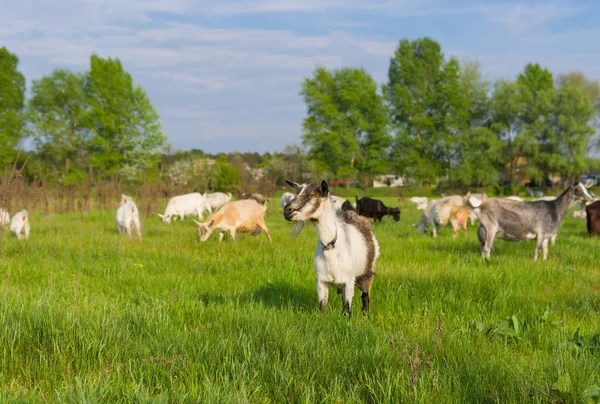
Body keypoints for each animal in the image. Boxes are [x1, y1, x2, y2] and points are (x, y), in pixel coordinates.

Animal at [282, 181, 380, 318]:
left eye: (313, 195)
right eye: (297, 193)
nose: (287, 210)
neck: (331, 246)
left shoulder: (349, 281)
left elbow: (347, 309)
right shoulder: (321, 281)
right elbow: (323, 307)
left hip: (367, 273)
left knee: (365, 297)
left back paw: (366, 318)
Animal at [468, 183, 596, 262]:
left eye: (586, 188)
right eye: (579, 190)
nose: (591, 198)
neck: (555, 209)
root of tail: (480, 206)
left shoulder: (546, 236)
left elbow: (545, 250)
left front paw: (544, 262)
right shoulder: (540, 233)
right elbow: (537, 250)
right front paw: (534, 262)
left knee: (483, 247)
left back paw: (483, 260)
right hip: (491, 228)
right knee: (487, 248)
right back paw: (488, 261)